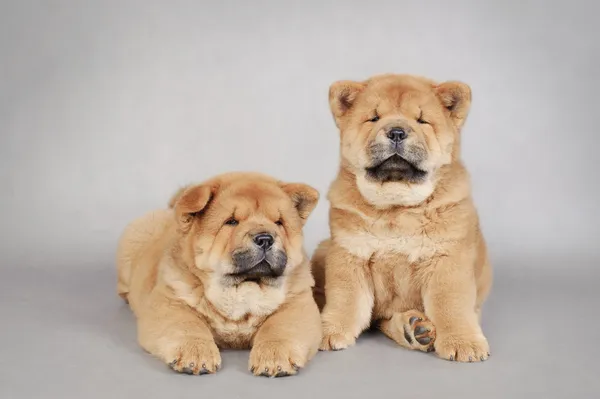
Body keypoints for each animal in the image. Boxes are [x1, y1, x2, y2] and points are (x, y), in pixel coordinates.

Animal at [118, 173, 324, 378]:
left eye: (279, 222)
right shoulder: (170, 301)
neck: (242, 287)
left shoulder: (297, 302)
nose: (265, 238)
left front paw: (274, 357)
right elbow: (188, 326)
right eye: (231, 222)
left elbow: (279, 328)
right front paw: (196, 354)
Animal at [314, 74, 492, 362]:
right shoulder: (349, 253)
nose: (397, 131)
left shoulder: (447, 259)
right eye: (374, 118)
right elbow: (346, 299)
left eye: (421, 120)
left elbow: (451, 304)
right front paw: (328, 330)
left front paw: (463, 342)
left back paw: (417, 329)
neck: (396, 206)